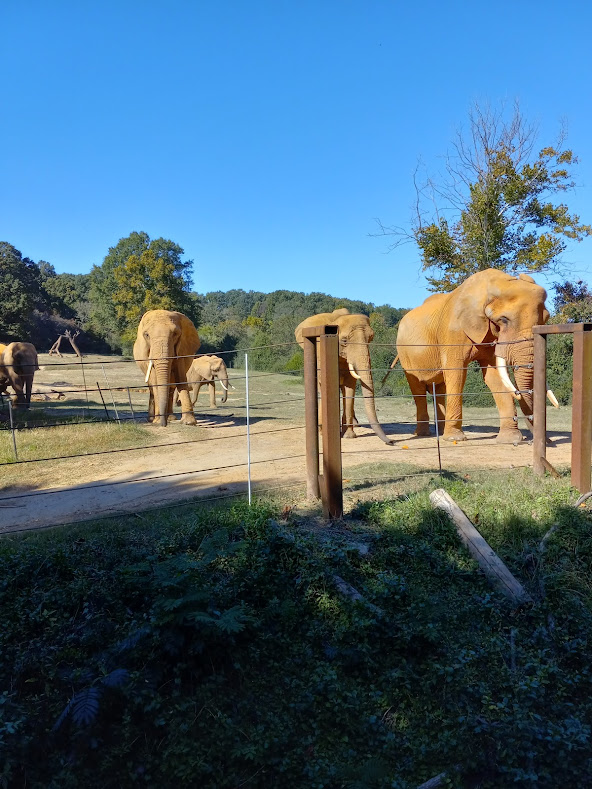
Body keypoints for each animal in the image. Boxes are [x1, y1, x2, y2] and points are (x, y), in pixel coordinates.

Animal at [295, 308, 394, 445]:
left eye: (370, 338)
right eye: (344, 341)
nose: (391, 441)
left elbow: (349, 388)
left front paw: (349, 436)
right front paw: (325, 433)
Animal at [389, 269, 558, 444]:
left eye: (546, 319)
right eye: (504, 320)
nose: (546, 441)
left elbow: (494, 376)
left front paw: (510, 440)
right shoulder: (453, 333)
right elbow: (456, 373)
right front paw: (454, 438)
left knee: (440, 388)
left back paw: (440, 431)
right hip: (405, 354)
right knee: (418, 388)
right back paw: (423, 434)